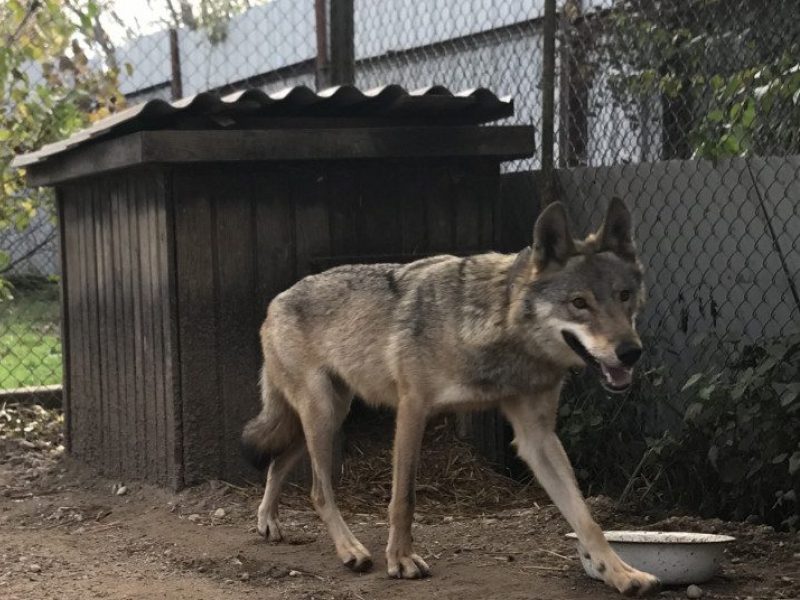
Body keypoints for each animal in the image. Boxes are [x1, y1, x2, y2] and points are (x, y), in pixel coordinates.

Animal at [242, 198, 664, 596]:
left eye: (624, 296)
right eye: (579, 303)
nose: (630, 352)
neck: (498, 328)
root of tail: (275, 300)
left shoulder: (537, 437)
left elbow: (586, 519)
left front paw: (621, 574)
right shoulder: (413, 409)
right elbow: (404, 499)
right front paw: (401, 560)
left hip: (327, 417)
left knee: (278, 463)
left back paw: (269, 522)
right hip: (323, 414)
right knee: (318, 490)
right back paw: (350, 550)